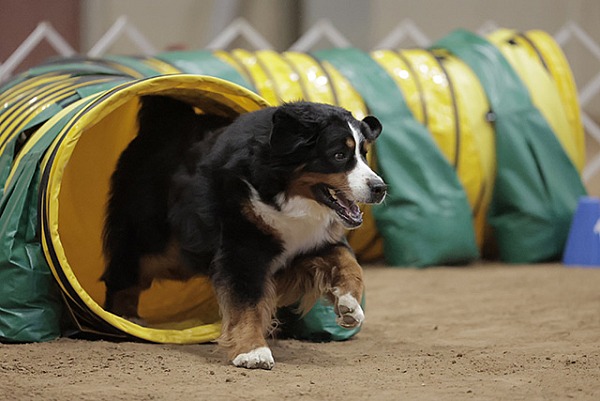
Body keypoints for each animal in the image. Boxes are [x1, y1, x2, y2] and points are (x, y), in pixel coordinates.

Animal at [101, 96, 386, 368]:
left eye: (364, 154)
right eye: (338, 155)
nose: (380, 188)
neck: (284, 196)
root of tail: (163, 121)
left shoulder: (310, 243)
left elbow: (348, 261)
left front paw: (349, 305)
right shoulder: (244, 247)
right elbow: (246, 301)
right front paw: (252, 351)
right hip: (153, 240)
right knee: (125, 272)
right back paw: (124, 317)